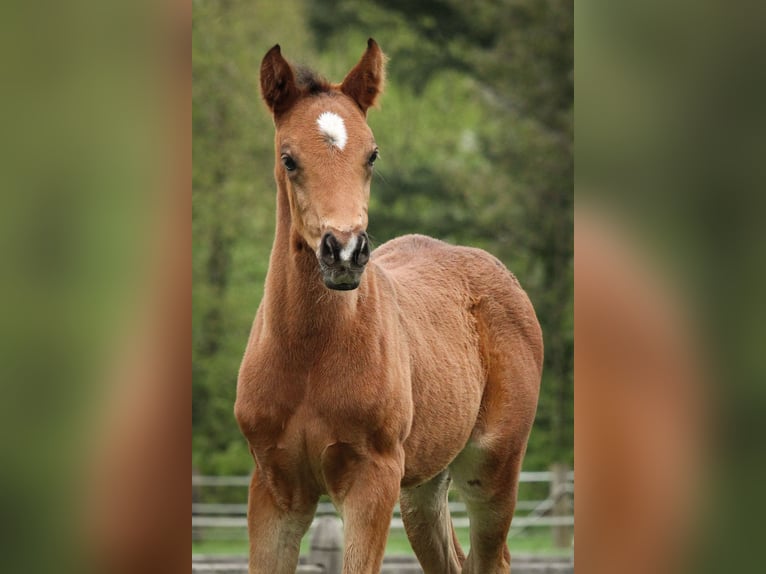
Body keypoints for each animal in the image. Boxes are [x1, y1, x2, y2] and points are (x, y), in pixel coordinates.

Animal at [237, 38, 544, 572]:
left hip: (493, 469)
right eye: (288, 158)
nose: (344, 252)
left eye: (372, 155)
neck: (309, 354)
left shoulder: (371, 479)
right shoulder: (273, 487)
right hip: (423, 486)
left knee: (493, 557)